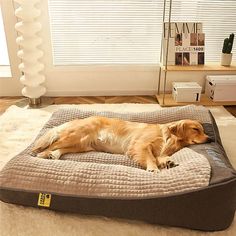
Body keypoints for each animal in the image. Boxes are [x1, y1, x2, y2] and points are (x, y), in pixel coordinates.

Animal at [30, 117, 208, 172]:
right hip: (76, 137)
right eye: (195, 129)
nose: (209, 139)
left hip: (81, 144)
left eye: (203, 130)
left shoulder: (157, 150)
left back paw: (53, 155)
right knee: (51, 145)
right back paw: (41, 154)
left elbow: (160, 156)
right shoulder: (140, 145)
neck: (167, 136)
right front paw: (153, 169)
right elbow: (151, 158)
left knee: (60, 148)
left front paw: (167, 162)